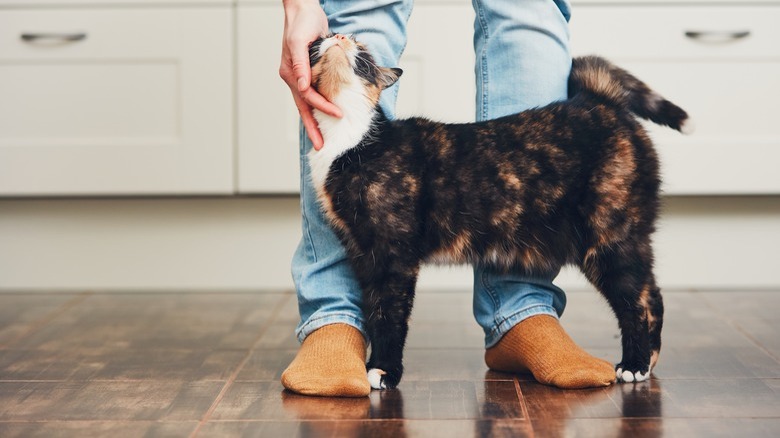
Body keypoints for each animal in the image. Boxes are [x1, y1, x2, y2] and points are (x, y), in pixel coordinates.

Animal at [304, 34, 688, 390]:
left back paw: (634, 364)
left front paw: (384, 370)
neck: (350, 139)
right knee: (650, 294)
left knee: (637, 301)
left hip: (610, 237)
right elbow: (373, 310)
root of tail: (598, 101)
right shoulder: (363, 253)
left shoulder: (394, 255)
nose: (339, 36)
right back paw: (648, 360)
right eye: (321, 40)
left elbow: (390, 314)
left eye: (363, 51)